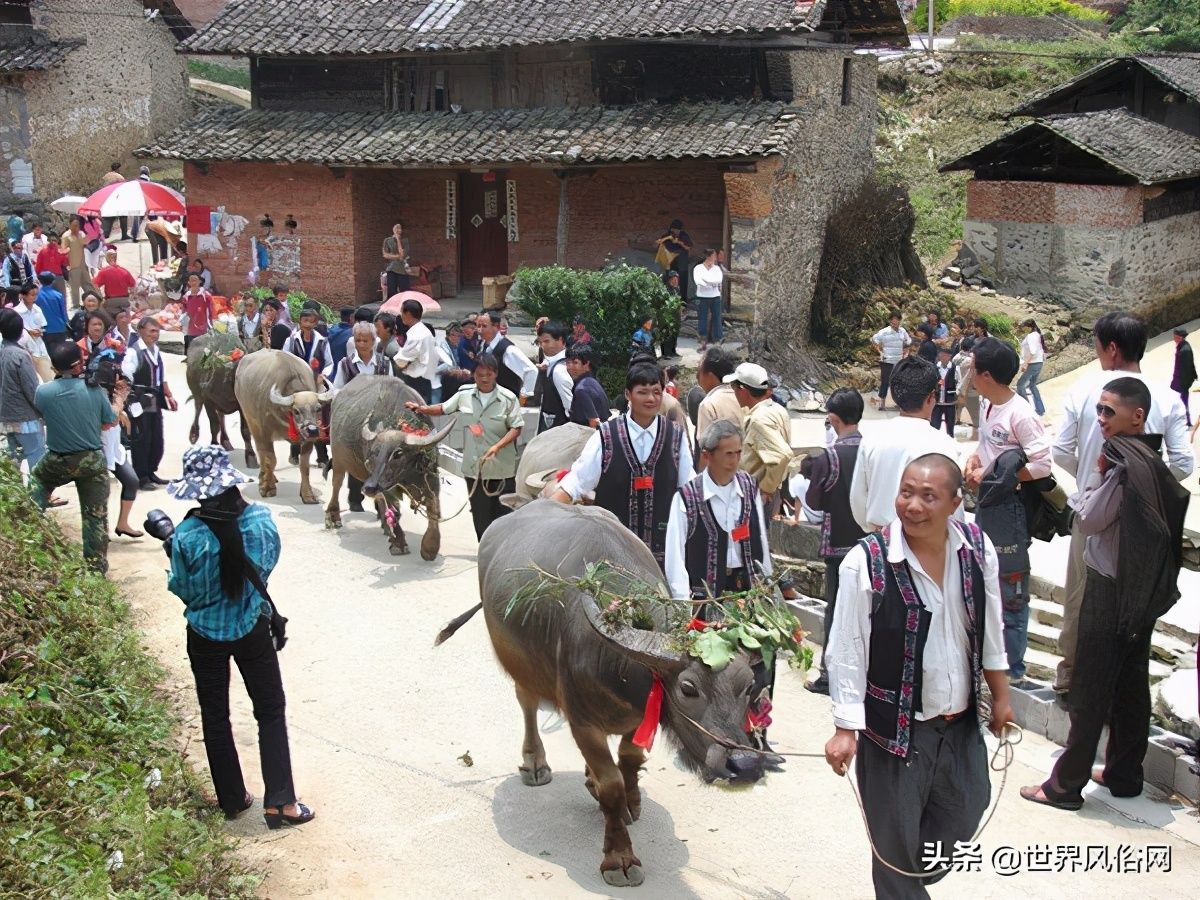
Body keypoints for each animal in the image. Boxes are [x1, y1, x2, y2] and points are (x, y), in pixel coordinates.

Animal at [183, 336, 252, 465]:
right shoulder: (208, 401)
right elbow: (214, 426)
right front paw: (214, 447)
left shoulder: (242, 406)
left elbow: (245, 430)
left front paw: (251, 456)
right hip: (196, 393)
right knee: (198, 408)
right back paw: (194, 434)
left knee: (221, 416)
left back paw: (226, 441)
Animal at [232, 348, 333, 504]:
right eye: (296, 411)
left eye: (318, 409)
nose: (312, 430)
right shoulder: (265, 433)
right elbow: (270, 459)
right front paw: (267, 488)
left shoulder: (307, 441)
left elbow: (304, 466)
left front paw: (308, 495)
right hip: (250, 419)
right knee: (261, 453)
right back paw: (264, 477)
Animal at [436, 504, 772, 892]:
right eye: (688, 688)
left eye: (747, 685)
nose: (744, 765)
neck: (620, 665)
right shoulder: (582, 723)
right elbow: (610, 781)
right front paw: (619, 858)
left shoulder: (639, 718)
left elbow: (628, 759)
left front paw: (631, 802)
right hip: (523, 668)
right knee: (527, 704)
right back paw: (535, 764)